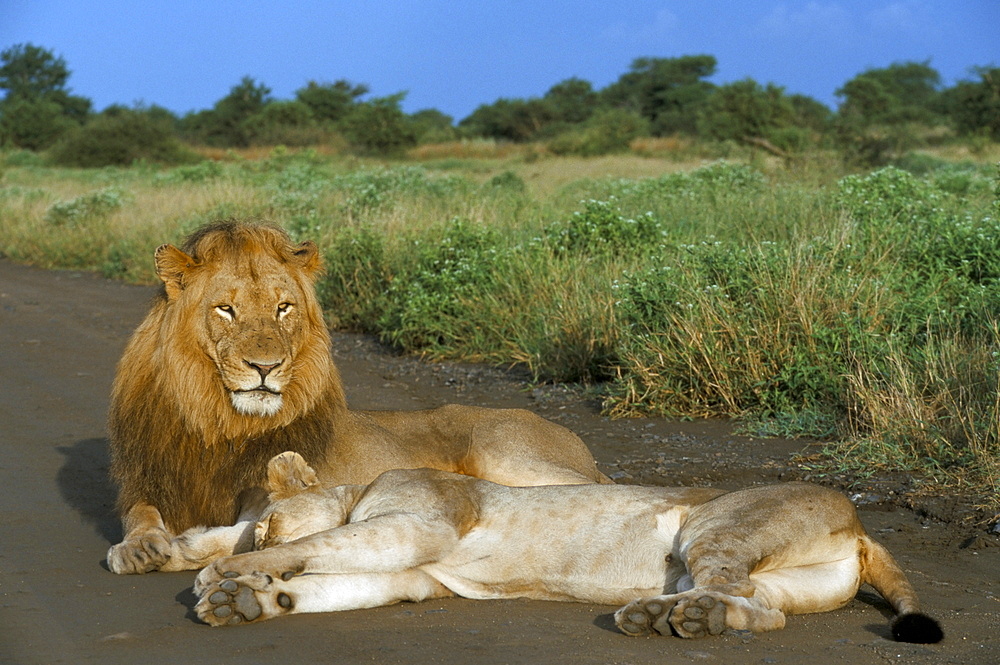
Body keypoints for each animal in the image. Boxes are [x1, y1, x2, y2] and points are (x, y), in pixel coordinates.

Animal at [107, 220, 608, 572]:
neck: (221, 423)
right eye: (225, 309)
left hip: (505, 453)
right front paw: (139, 548)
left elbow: (245, 530)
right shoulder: (149, 481)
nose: (266, 367)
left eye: (283, 308)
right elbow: (141, 516)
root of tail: (579, 443)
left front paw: (185, 547)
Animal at [189, 452, 944, 644]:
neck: (360, 486)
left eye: (267, 523)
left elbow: (323, 543)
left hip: (716, 526)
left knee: (734, 590)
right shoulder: (414, 573)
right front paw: (248, 601)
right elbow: (324, 582)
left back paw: (671, 619)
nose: (259, 535)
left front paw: (222, 572)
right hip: (781, 578)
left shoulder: (422, 525)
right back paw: (669, 617)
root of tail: (861, 521)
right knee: (766, 608)